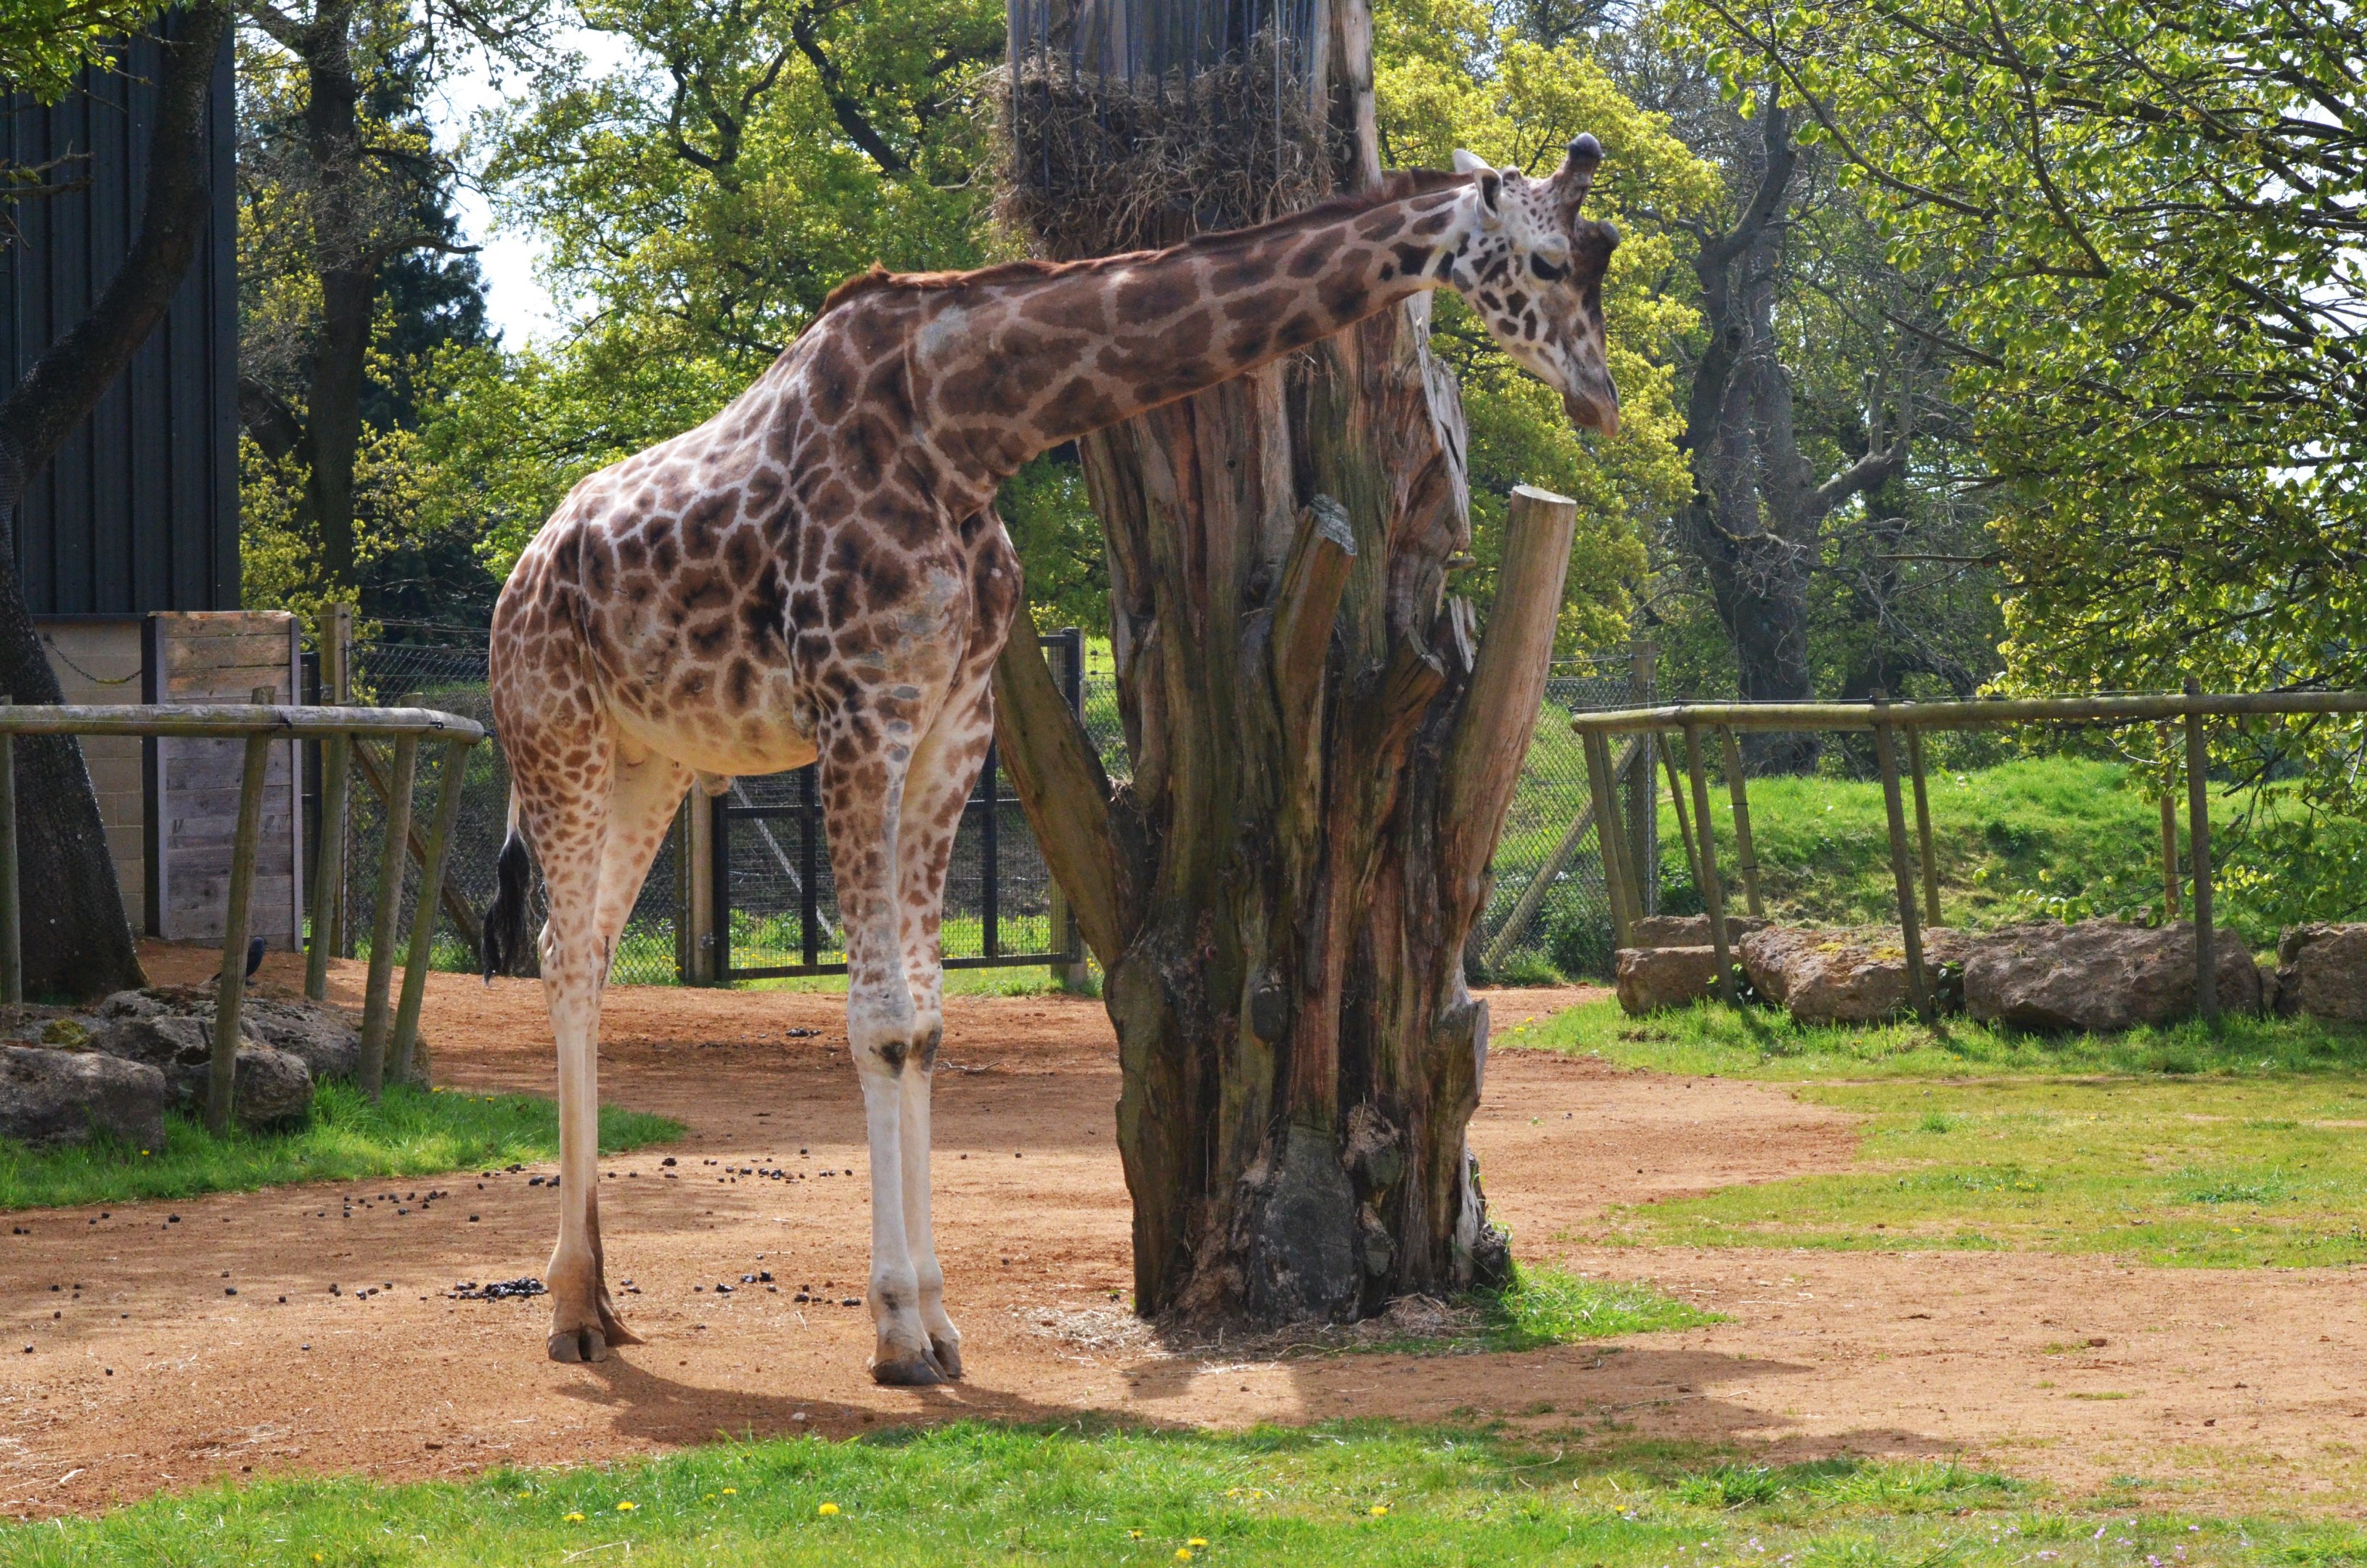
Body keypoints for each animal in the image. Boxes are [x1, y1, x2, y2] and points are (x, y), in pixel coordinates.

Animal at [481, 137, 1622, 1384]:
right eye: (1550, 260)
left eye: (1603, 253)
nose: (1601, 398)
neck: (966, 430)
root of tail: (519, 577)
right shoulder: (862, 714)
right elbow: (877, 1020)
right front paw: (894, 1335)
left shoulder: (951, 727)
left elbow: (927, 1025)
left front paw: (937, 1321)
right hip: (559, 741)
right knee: (563, 959)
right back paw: (570, 1310)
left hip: (655, 763)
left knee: (579, 950)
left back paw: (602, 1302)